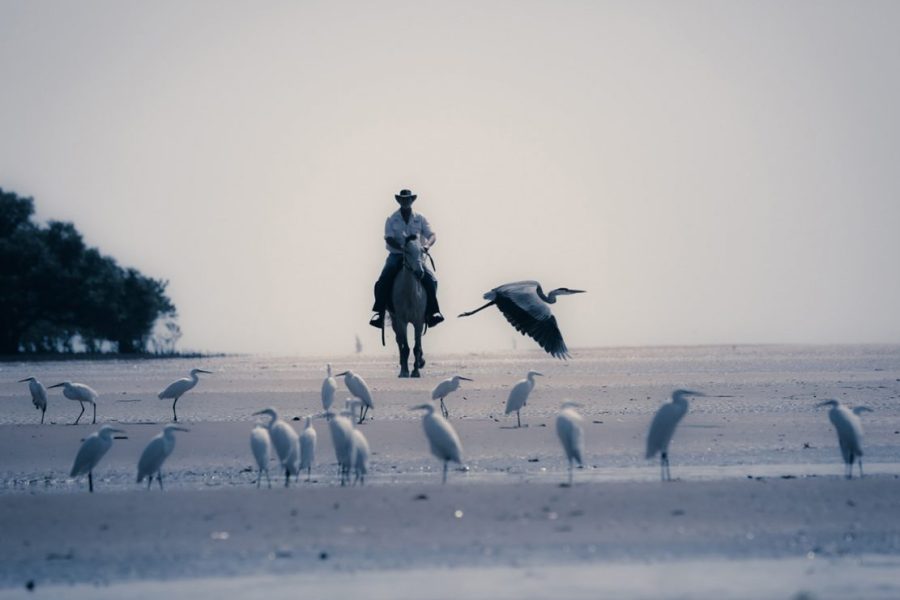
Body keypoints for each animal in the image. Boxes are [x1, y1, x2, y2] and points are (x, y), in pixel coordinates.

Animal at [389, 234, 428, 378]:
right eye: (407, 251)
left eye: (422, 251)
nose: (419, 272)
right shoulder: (401, 321)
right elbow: (405, 346)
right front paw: (405, 371)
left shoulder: (419, 321)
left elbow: (417, 347)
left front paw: (416, 371)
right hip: (394, 320)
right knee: (399, 341)